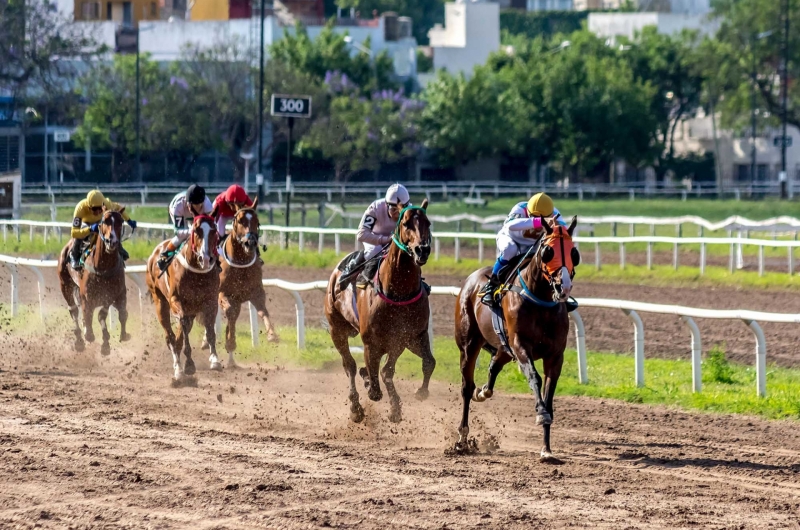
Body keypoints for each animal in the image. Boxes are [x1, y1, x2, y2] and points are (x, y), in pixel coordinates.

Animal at [57, 208, 130, 352]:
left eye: (121, 221)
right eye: (104, 221)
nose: (112, 241)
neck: (103, 266)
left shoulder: (113, 294)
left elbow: (107, 314)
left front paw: (108, 342)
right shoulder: (86, 297)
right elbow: (88, 316)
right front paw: (89, 335)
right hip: (65, 285)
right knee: (74, 310)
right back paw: (79, 341)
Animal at [145, 212, 220, 382]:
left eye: (213, 231)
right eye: (197, 231)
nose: (206, 259)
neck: (197, 273)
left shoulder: (211, 301)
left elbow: (210, 328)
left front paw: (214, 359)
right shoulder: (176, 300)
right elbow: (182, 329)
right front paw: (189, 364)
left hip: (191, 309)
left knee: (178, 336)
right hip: (160, 303)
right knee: (171, 336)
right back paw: (178, 369)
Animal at [211, 196, 280, 366]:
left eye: (257, 221)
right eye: (240, 220)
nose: (251, 243)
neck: (240, 262)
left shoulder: (256, 291)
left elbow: (263, 311)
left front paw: (272, 335)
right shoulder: (223, 293)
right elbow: (230, 312)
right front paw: (230, 342)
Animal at [324, 198, 434, 420]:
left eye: (428, 223)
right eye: (406, 224)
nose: (422, 250)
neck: (398, 291)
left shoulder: (408, 336)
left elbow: (420, 364)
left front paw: (408, 400)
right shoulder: (371, 341)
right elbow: (377, 381)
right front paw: (378, 393)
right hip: (336, 329)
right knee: (349, 365)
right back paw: (356, 408)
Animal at [454, 214, 580, 458]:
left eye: (574, 253)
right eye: (548, 251)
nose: (564, 286)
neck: (541, 301)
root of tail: (470, 280)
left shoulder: (555, 355)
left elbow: (549, 392)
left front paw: (546, 448)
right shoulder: (521, 345)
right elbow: (534, 377)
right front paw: (541, 413)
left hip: (504, 347)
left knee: (493, 366)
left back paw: (483, 392)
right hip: (469, 344)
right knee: (466, 387)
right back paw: (462, 438)